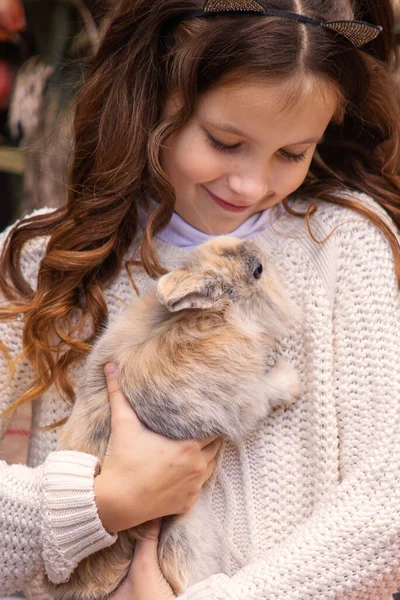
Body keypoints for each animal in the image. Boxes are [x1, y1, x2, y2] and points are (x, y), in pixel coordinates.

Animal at [47, 234, 302, 600]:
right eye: (258, 271)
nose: (261, 250)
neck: (217, 316)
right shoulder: (241, 398)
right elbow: (265, 394)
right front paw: (291, 381)